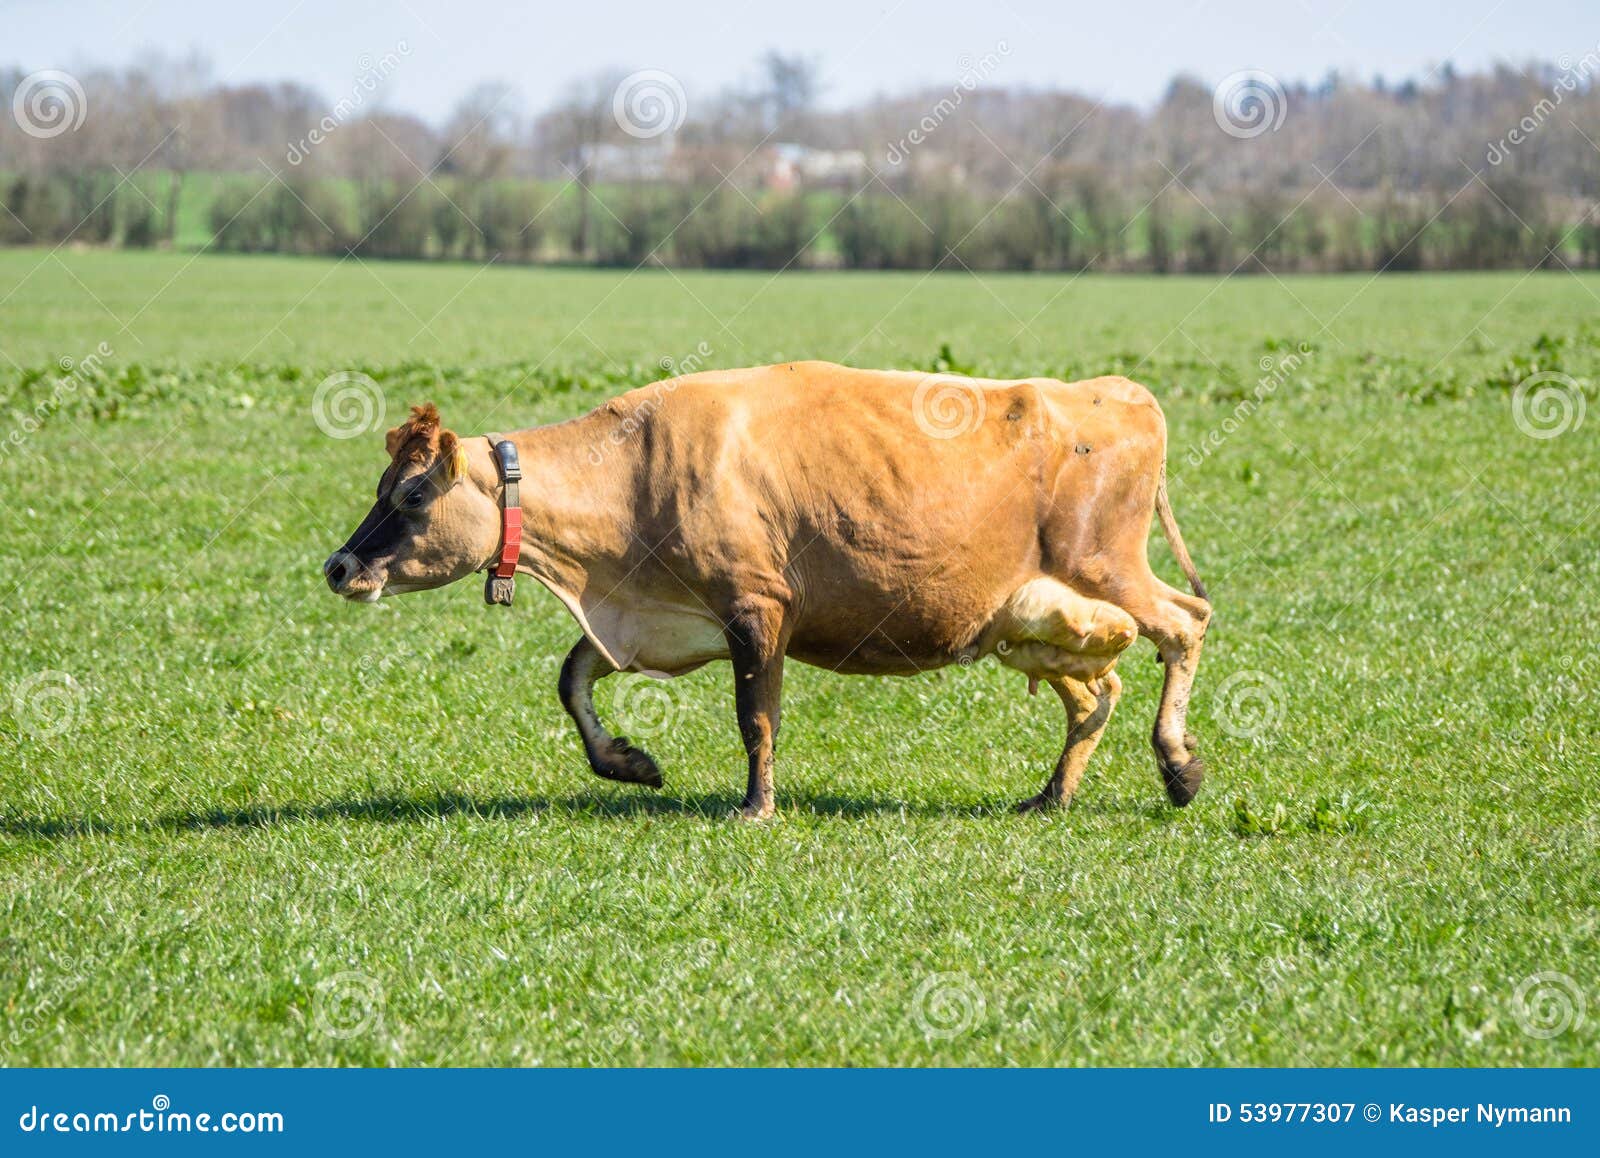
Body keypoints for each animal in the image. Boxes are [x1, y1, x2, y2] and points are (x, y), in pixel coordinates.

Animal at [323, 361, 1211, 819]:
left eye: (413, 495)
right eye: (380, 484)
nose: (339, 567)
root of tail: (1117, 389)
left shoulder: (758, 609)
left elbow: (756, 719)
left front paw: (755, 806)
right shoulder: (662, 619)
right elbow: (573, 679)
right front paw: (628, 762)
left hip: (1108, 566)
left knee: (1187, 622)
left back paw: (1178, 767)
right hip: (1034, 622)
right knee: (1096, 694)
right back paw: (1051, 796)